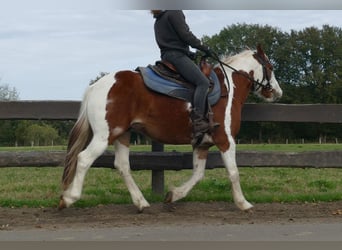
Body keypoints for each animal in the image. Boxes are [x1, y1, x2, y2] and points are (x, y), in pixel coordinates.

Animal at [59, 44, 284, 211]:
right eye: (270, 67)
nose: (277, 92)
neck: (228, 89)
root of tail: (96, 86)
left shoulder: (201, 144)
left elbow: (198, 174)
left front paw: (174, 195)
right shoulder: (225, 140)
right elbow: (234, 172)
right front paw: (243, 203)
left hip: (122, 134)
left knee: (122, 166)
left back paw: (141, 202)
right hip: (104, 135)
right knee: (84, 159)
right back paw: (69, 198)